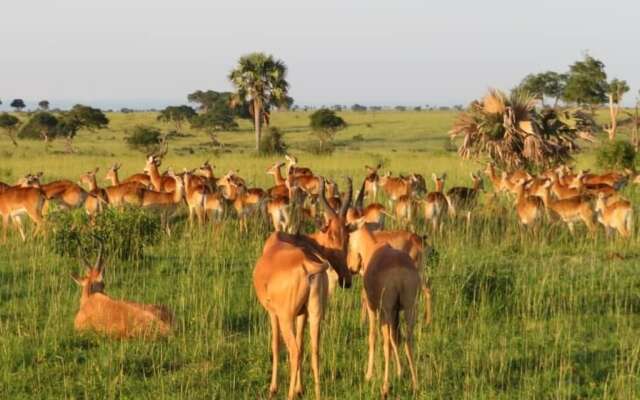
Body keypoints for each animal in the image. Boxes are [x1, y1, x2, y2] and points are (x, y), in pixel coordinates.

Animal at [254, 178, 356, 400]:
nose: (346, 280)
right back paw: (316, 394)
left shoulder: (274, 313)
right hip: (316, 312)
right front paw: (300, 388)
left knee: (294, 351)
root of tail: (309, 266)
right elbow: (303, 342)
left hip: (286, 317)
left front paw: (274, 388)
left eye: (347, 237)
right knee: (314, 349)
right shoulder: (303, 314)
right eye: (332, 236)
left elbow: (276, 345)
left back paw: (289, 394)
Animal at [350, 222, 420, 396]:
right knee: (407, 340)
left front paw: (368, 375)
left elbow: (373, 337)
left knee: (387, 343)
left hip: (386, 310)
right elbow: (396, 338)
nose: (351, 268)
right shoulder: (395, 311)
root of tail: (399, 269)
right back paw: (416, 385)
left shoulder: (373, 307)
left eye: (349, 239)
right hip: (409, 308)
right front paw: (400, 372)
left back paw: (385, 387)